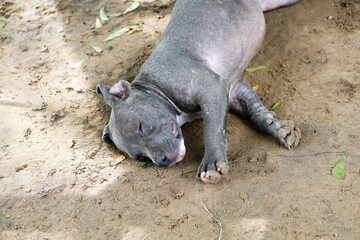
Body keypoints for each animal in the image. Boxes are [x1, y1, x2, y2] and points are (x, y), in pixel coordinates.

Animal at [97, 0, 302, 183]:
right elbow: (258, 115)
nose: (164, 161)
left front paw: (212, 163)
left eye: (141, 126)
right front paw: (281, 130)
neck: (154, 86)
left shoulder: (212, 87)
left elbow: (211, 129)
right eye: (140, 157)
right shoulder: (235, 90)